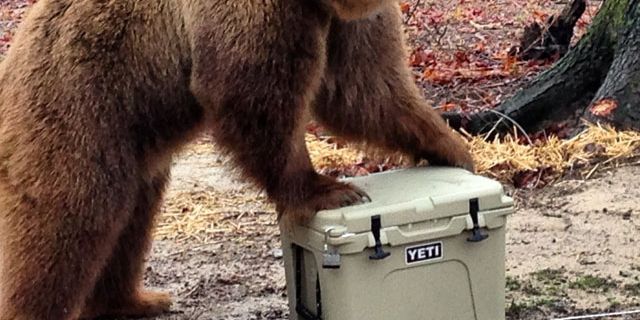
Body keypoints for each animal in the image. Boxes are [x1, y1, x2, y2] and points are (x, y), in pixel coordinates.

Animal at [0, 0, 470, 318]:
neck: (318, 2)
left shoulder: (345, 21)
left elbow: (366, 89)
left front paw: (454, 150)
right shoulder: (260, 14)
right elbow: (249, 92)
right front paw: (328, 190)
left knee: (131, 218)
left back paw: (137, 299)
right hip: (80, 101)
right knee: (70, 214)